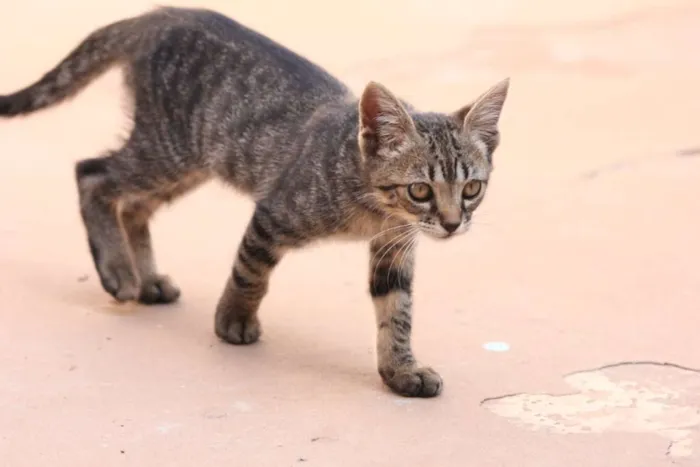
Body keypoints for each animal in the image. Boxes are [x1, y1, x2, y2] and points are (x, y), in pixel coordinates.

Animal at [2, 5, 512, 396]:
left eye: (471, 189)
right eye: (420, 190)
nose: (452, 223)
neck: (373, 207)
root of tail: (158, 14)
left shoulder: (395, 248)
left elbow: (397, 312)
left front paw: (401, 370)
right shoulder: (274, 211)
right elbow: (251, 273)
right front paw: (233, 319)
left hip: (190, 163)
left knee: (132, 205)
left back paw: (147, 280)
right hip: (169, 148)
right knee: (92, 174)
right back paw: (117, 272)